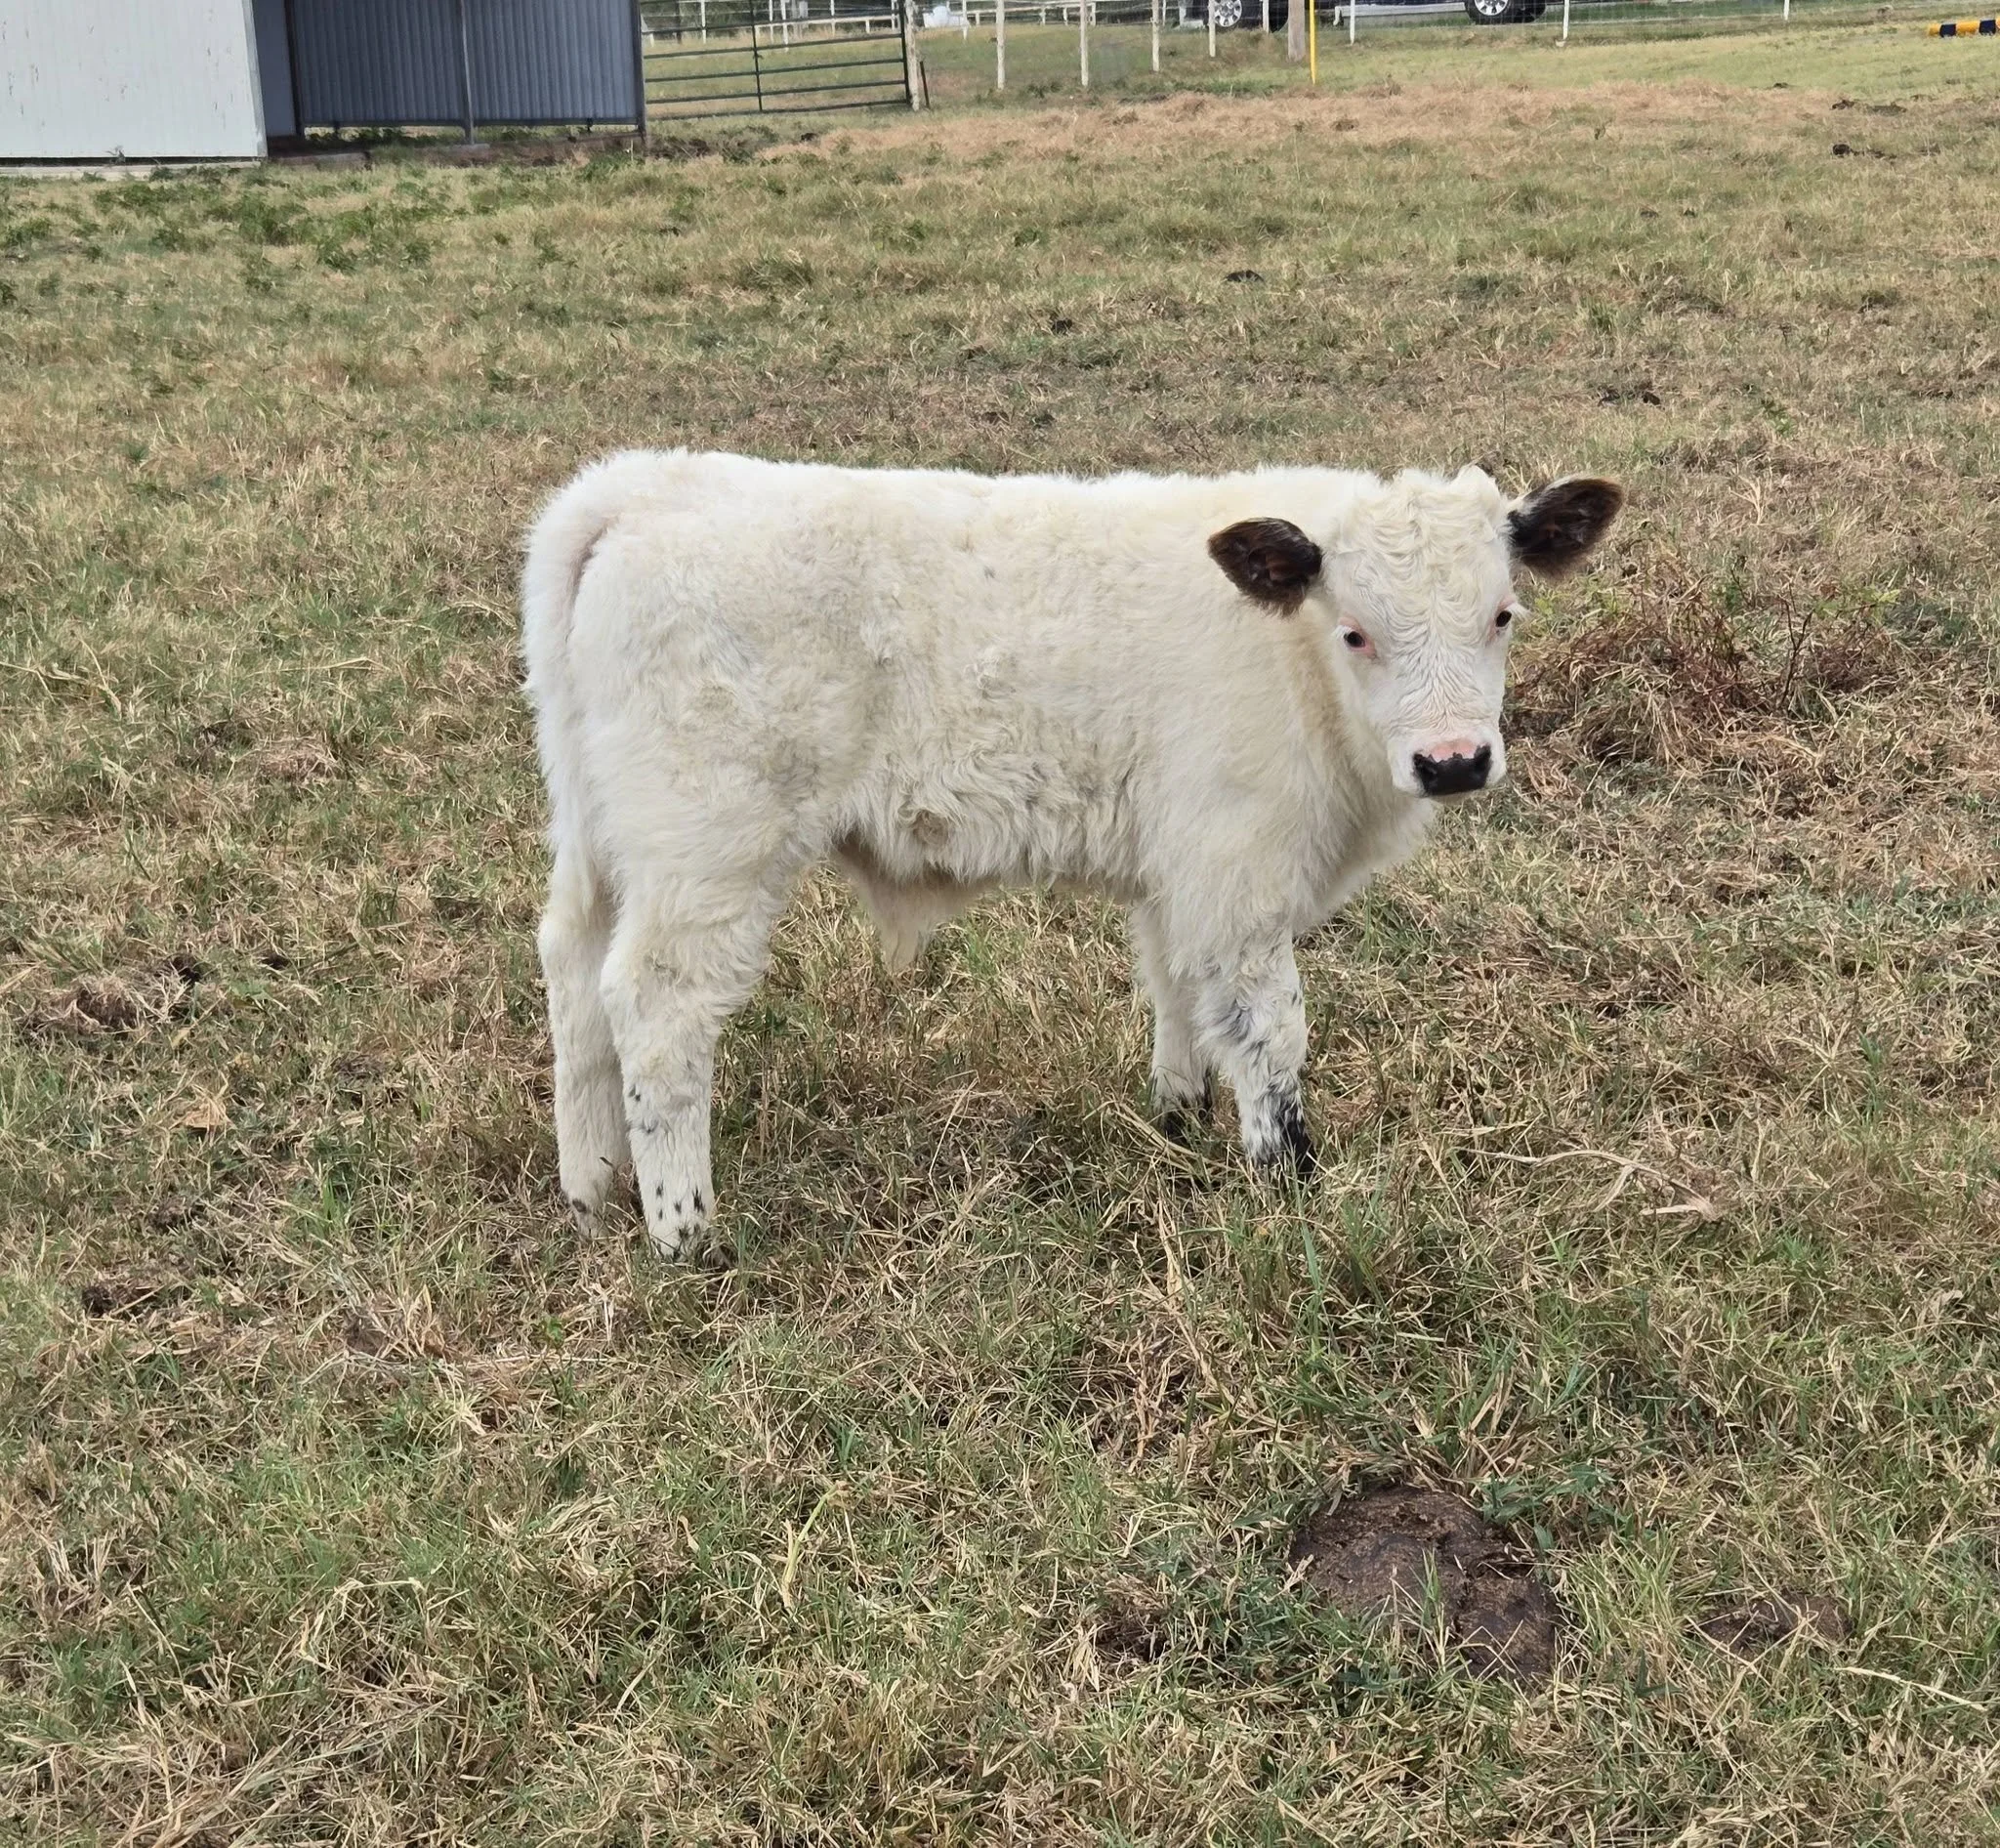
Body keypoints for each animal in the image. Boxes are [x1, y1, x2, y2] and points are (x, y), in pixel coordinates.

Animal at [522, 451, 1622, 1256]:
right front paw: (1289, 1180)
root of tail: (640, 488)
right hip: (707, 846)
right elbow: (1268, 1031)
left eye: (1502, 614)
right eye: (1355, 631)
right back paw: (684, 1232)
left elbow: (1178, 993)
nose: (1453, 761)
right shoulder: (1237, 873)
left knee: (572, 974)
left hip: (598, 834)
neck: (1293, 663)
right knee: (656, 1006)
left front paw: (1176, 1118)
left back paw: (591, 1189)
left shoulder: (1178, 874)